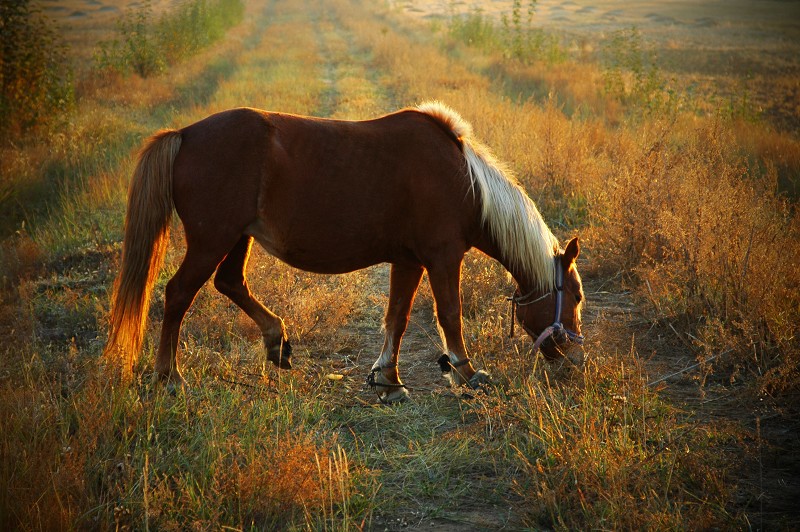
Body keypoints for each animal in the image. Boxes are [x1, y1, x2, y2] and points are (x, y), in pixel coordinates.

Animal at [106, 102, 584, 402]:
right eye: (576, 298)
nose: (574, 362)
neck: (464, 181)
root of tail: (185, 135)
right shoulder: (442, 258)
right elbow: (450, 314)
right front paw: (467, 373)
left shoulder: (408, 261)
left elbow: (397, 318)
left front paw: (388, 381)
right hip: (211, 242)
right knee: (178, 295)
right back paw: (169, 376)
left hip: (236, 238)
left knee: (230, 282)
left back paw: (277, 340)